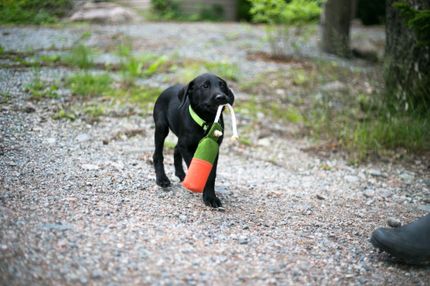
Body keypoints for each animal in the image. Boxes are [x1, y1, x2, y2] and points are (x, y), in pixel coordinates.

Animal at [154, 73, 235, 208]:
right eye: (205, 86)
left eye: (222, 85)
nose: (221, 97)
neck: (207, 121)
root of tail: (167, 89)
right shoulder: (186, 147)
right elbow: (194, 165)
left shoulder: (214, 149)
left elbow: (211, 175)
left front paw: (210, 197)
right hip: (161, 128)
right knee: (158, 154)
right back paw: (162, 179)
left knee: (176, 149)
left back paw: (181, 174)